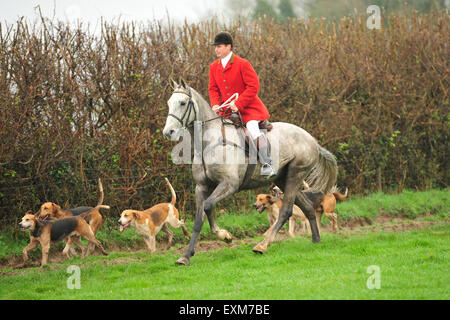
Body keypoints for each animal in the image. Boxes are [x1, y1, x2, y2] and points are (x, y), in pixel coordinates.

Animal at [163, 80, 338, 264]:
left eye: (182, 103)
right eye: (169, 103)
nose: (168, 132)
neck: (209, 143)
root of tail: (312, 140)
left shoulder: (229, 184)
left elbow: (208, 206)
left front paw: (224, 235)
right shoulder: (201, 187)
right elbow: (199, 218)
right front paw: (186, 256)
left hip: (295, 174)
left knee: (286, 211)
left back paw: (262, 245)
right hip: (283, 179)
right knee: (307, 207)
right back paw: (316, 239)